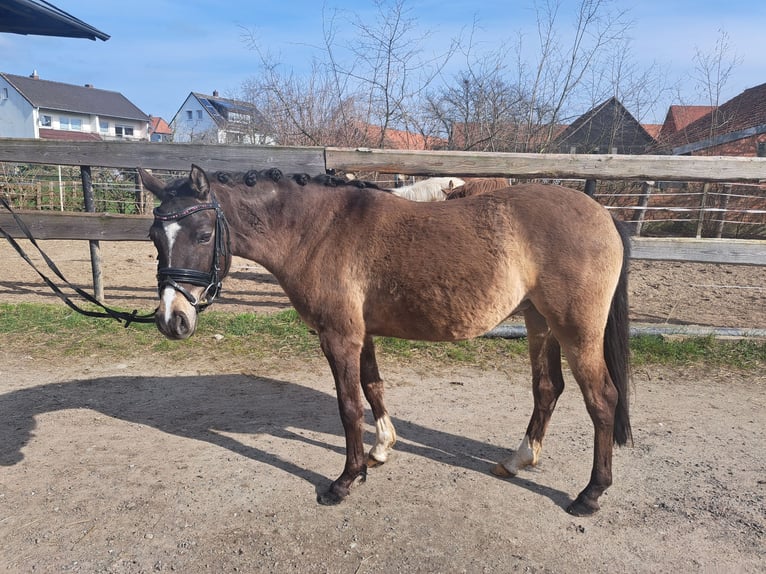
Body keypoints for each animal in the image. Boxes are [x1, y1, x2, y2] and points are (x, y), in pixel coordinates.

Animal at [141, 165, 632, 516]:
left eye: (204, 235)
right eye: (154, 237)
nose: (171, 319)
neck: (320, 230)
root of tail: (604, 214)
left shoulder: (339, 337)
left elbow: (348, 406)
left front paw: (345, 480)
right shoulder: (362, 335)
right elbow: (373, 388)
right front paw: (380, 449)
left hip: (576, 332)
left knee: (602, 399)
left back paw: (591, 494)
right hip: (539, 323)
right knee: (548, 389)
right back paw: (518, 460)